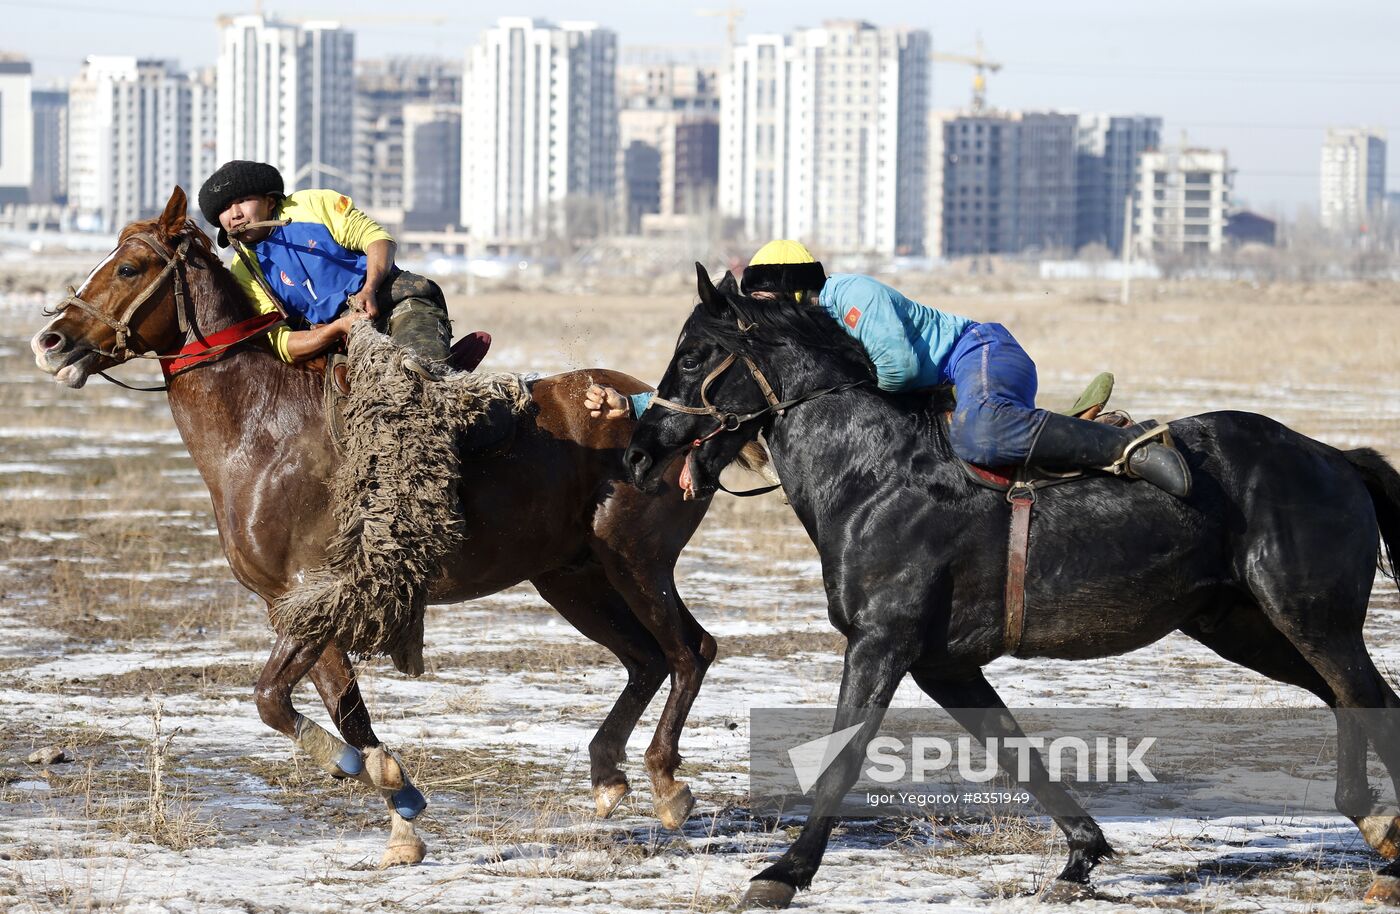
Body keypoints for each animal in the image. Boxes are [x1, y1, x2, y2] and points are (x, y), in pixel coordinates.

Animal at [30, 187, 717, 867]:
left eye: (128, 267)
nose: (50, 341)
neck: (262, 429)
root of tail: (677, 417)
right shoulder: (295, 605)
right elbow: (342, 709)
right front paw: (400, 810)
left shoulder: (319, 592)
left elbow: (273, 698)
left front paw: (352, 767)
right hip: (572, 578)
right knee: (645, 661)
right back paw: (608, 776)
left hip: (636, 561)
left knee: (689, 651)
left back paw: (666, 783)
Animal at [622, 265, 1400, 908]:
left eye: (692, 354)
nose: (636, 453)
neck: (872, 474)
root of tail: (1335, 456)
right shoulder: (945, 664)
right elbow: (1014, 750)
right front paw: (1081, 856)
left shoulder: (881, 643)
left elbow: (844, 756)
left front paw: (783, 872)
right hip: (1242, 625)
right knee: (1352, 699)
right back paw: (1376, 826)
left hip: (1309, 615)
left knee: (1369, 698)